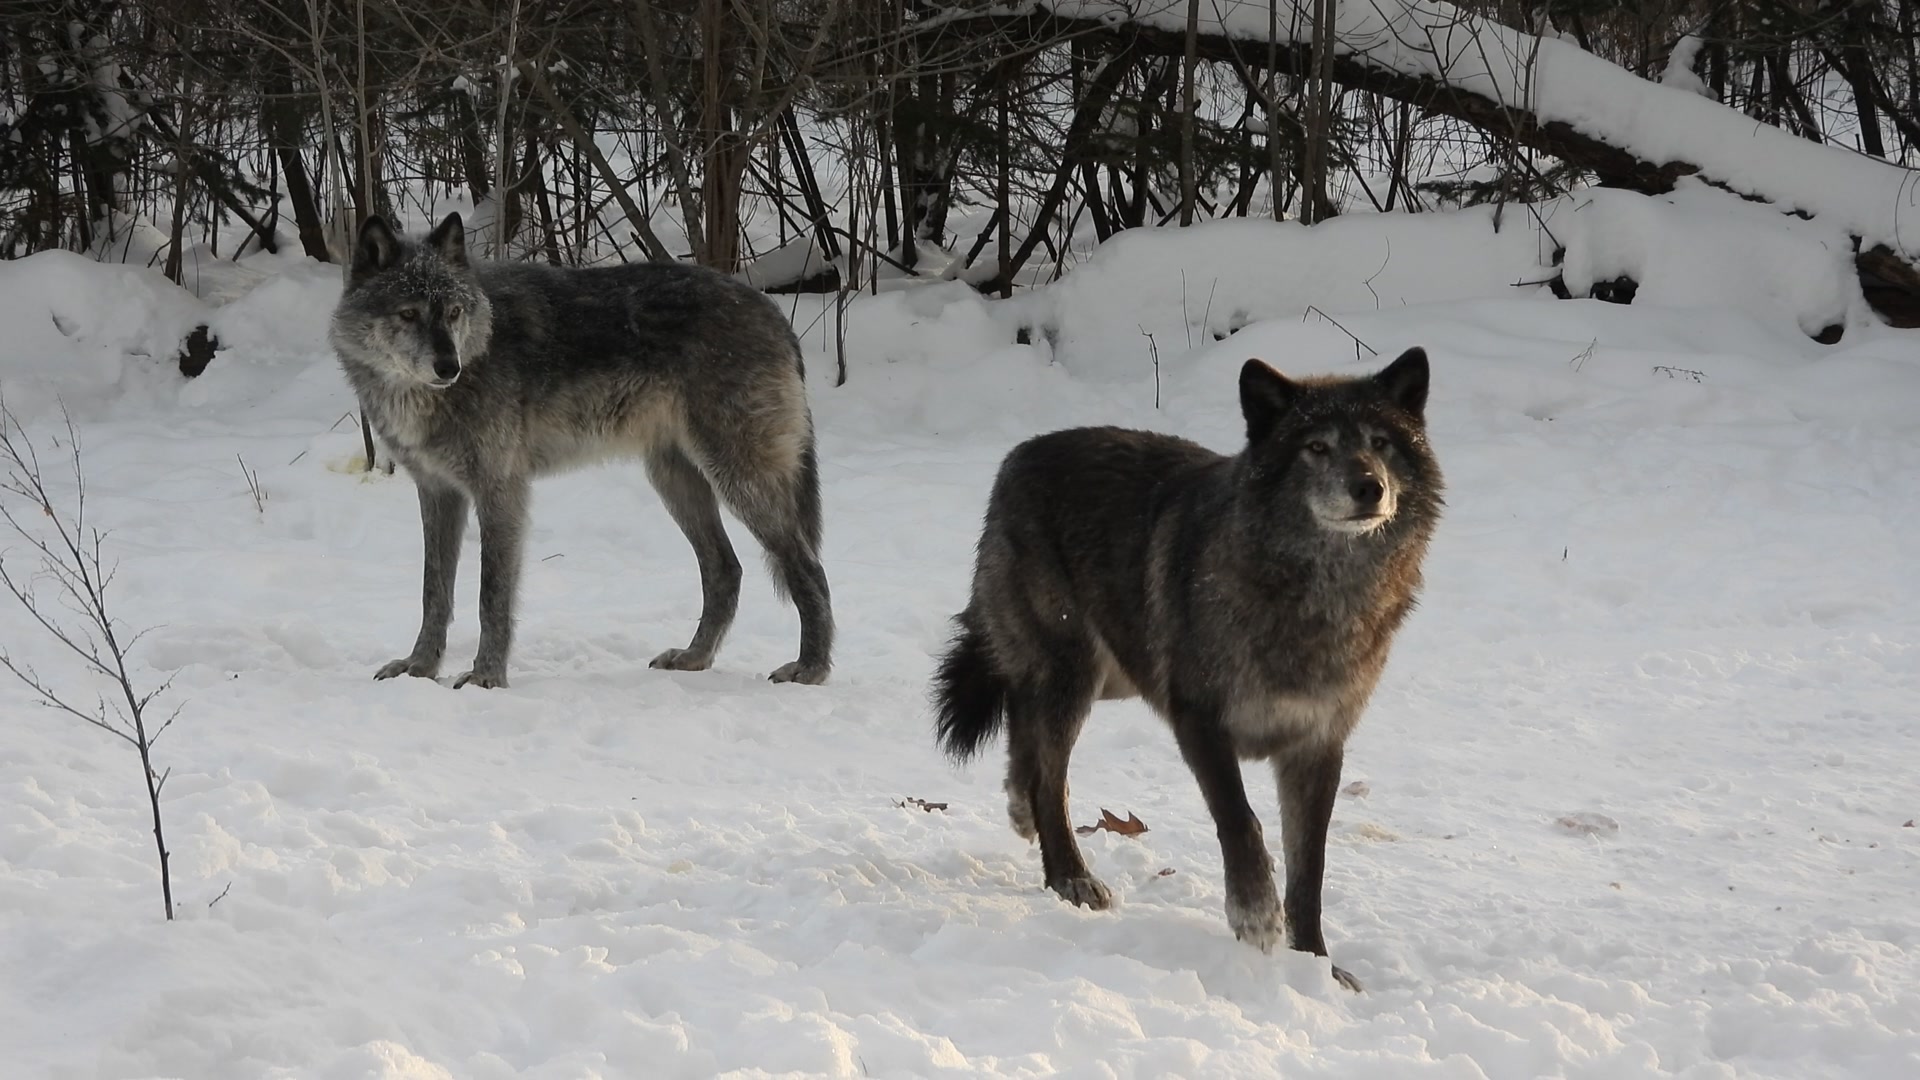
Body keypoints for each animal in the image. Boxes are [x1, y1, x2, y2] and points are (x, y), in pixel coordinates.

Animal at [329, 213, 833, 689]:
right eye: (408, 314)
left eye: (453, 312)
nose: (448, 366)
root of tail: (772, 310)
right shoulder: (437, 492)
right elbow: (434, 592)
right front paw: (419, 668)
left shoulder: (501, 491)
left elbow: (491, 595)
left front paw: (486, 677)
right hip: (675, 482)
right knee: (726, 569)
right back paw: (694, 657)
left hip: (740, 481)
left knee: (808, 568)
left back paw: (810, 668)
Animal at [932, 348, 1441, 991]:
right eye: (1316, 447)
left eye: (1381, 442)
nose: (1369, 487)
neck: (1318, 596)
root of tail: (1019, 455)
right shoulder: (1198, 719)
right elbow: (1241, 822)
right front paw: (1255, 916)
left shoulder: (1318, 744)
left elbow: (1311, 870)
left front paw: (1316, 967)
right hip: (1077, 674)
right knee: (1051, 777)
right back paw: (1069, 875)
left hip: (1109, 675)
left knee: (1024, 727)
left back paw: (1022, 812)